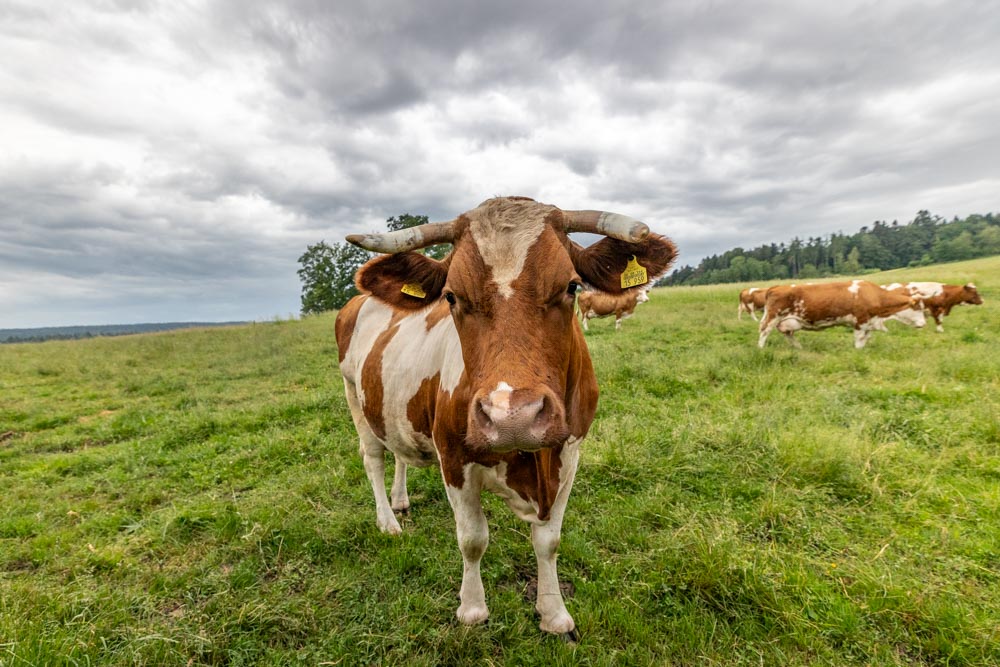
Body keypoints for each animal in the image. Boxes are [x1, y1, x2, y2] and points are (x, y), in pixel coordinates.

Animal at [335, 196, 676, 637]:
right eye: (451, 297)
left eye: (571, 286)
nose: (512, 416)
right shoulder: (454, 458)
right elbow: (472, 539)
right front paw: (472, 610)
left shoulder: (570, 452)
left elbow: (549, 541)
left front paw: (554, 613)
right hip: (353, 395)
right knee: (373, 458)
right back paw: (387, 521)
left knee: (398, 453)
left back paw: (400, 500)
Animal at [758, 279, 926, 349]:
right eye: (918, 308)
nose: (924, 324)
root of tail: (777, 287)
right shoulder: (860, 322)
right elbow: (859, 339)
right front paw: (857, 351)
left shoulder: (869, 323)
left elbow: (866, 338)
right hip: (773, 317)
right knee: (764, 331)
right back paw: (761, 349)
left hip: (788, 321)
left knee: (788, 334)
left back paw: (799, 348)